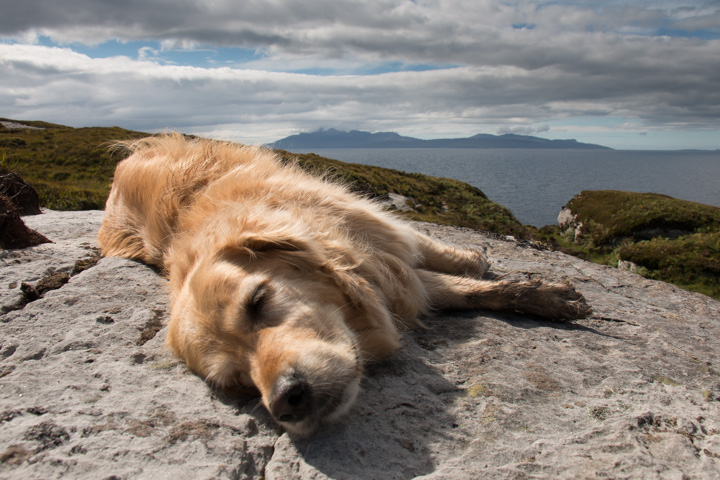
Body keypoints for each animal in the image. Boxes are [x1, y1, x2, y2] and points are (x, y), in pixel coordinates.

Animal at [97, 134, 592, 436]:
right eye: (237, 382)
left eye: (257, 301)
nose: (287, 402)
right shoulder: (390, 280)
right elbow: (455, 288)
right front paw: (539, 293)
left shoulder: (370, 232)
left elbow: (429, 251)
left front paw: (487, 266)